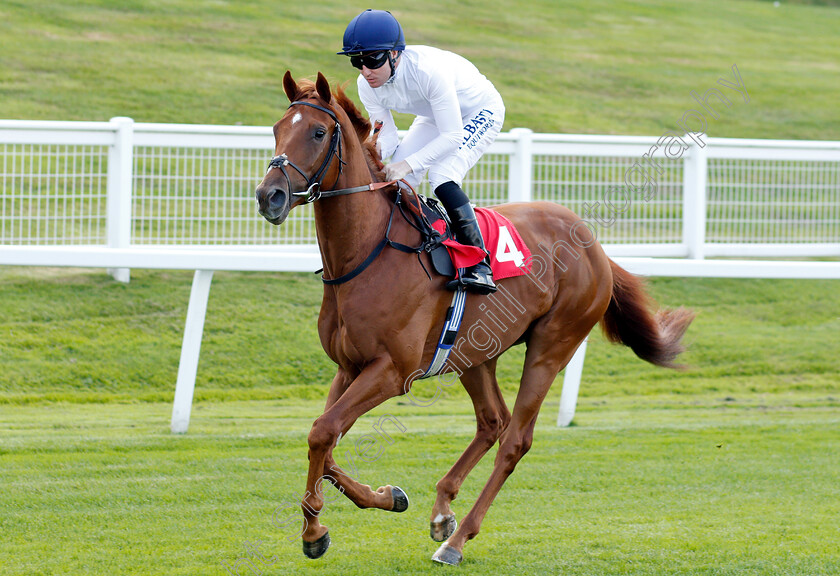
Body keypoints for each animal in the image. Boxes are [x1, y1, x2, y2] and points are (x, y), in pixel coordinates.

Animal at [256, 71, 696, 564]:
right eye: (276, 128)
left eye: (317, 132)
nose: (269, 196)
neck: (368, 254)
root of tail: (595, 246)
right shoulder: (349, 367)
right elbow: (326, 440)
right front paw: (387, 497)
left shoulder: (392, 371)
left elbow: (323, 431)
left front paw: (315, 530)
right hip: (474, 351)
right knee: (492, 421)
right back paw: (443, 509)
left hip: (552, 346)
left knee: (515, 439)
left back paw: (457, 538)